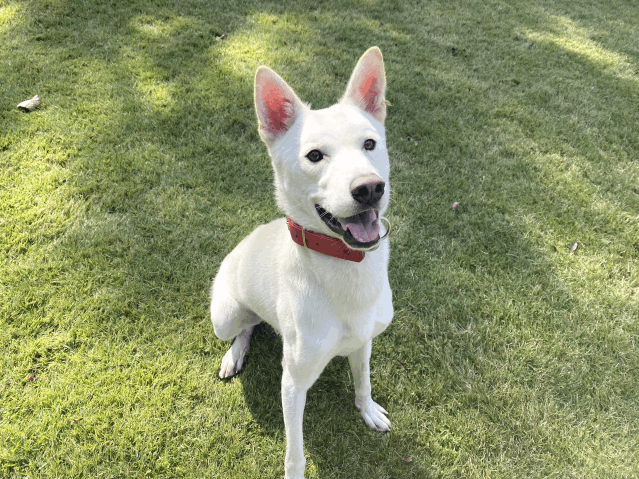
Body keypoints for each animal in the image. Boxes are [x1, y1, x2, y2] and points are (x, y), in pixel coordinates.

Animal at [212, 47, 392, 478]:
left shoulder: (364, 342)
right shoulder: (292, 383)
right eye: (314, 155)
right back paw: (234, 354)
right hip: (223, 315)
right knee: (245, 327)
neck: (347, 267)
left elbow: (363, 380)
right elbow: (295, 450)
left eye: (370, 143)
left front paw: (367, 410)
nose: (369, 188)